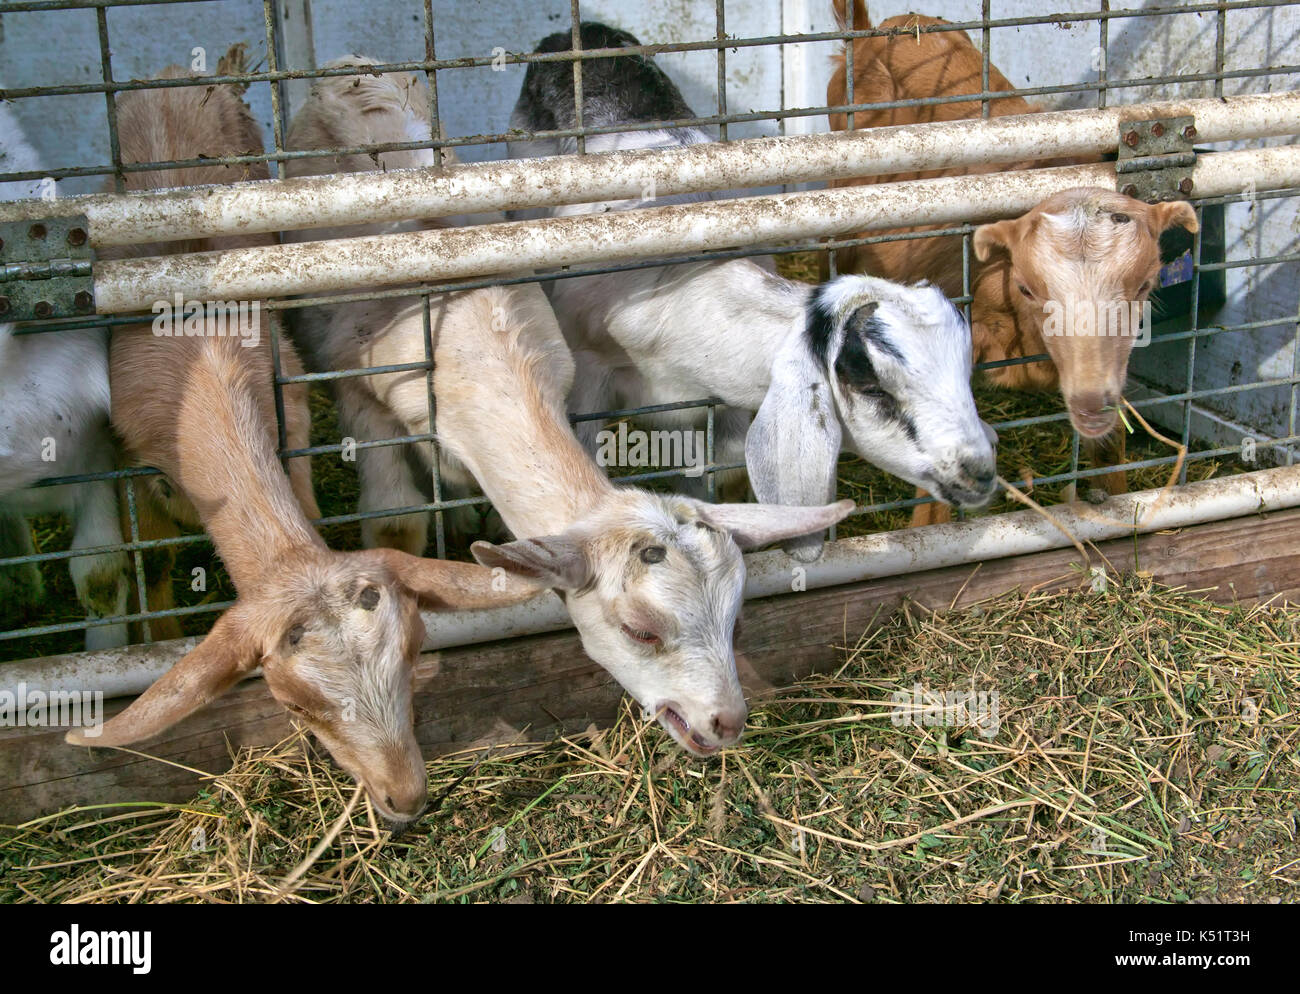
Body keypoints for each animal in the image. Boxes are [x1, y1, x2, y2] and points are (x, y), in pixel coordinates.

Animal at [283, 63, 852, 753]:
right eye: (639, 630)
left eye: (736, 618)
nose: (726, 722)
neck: (465, 335)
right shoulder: (363, 398)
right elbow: (397, 525)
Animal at [504, 21, 993, 558]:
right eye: (872, 388)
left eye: (965, 368)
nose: (980, 471)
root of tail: (578, 31)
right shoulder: (588, 377)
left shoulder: (720, 409)